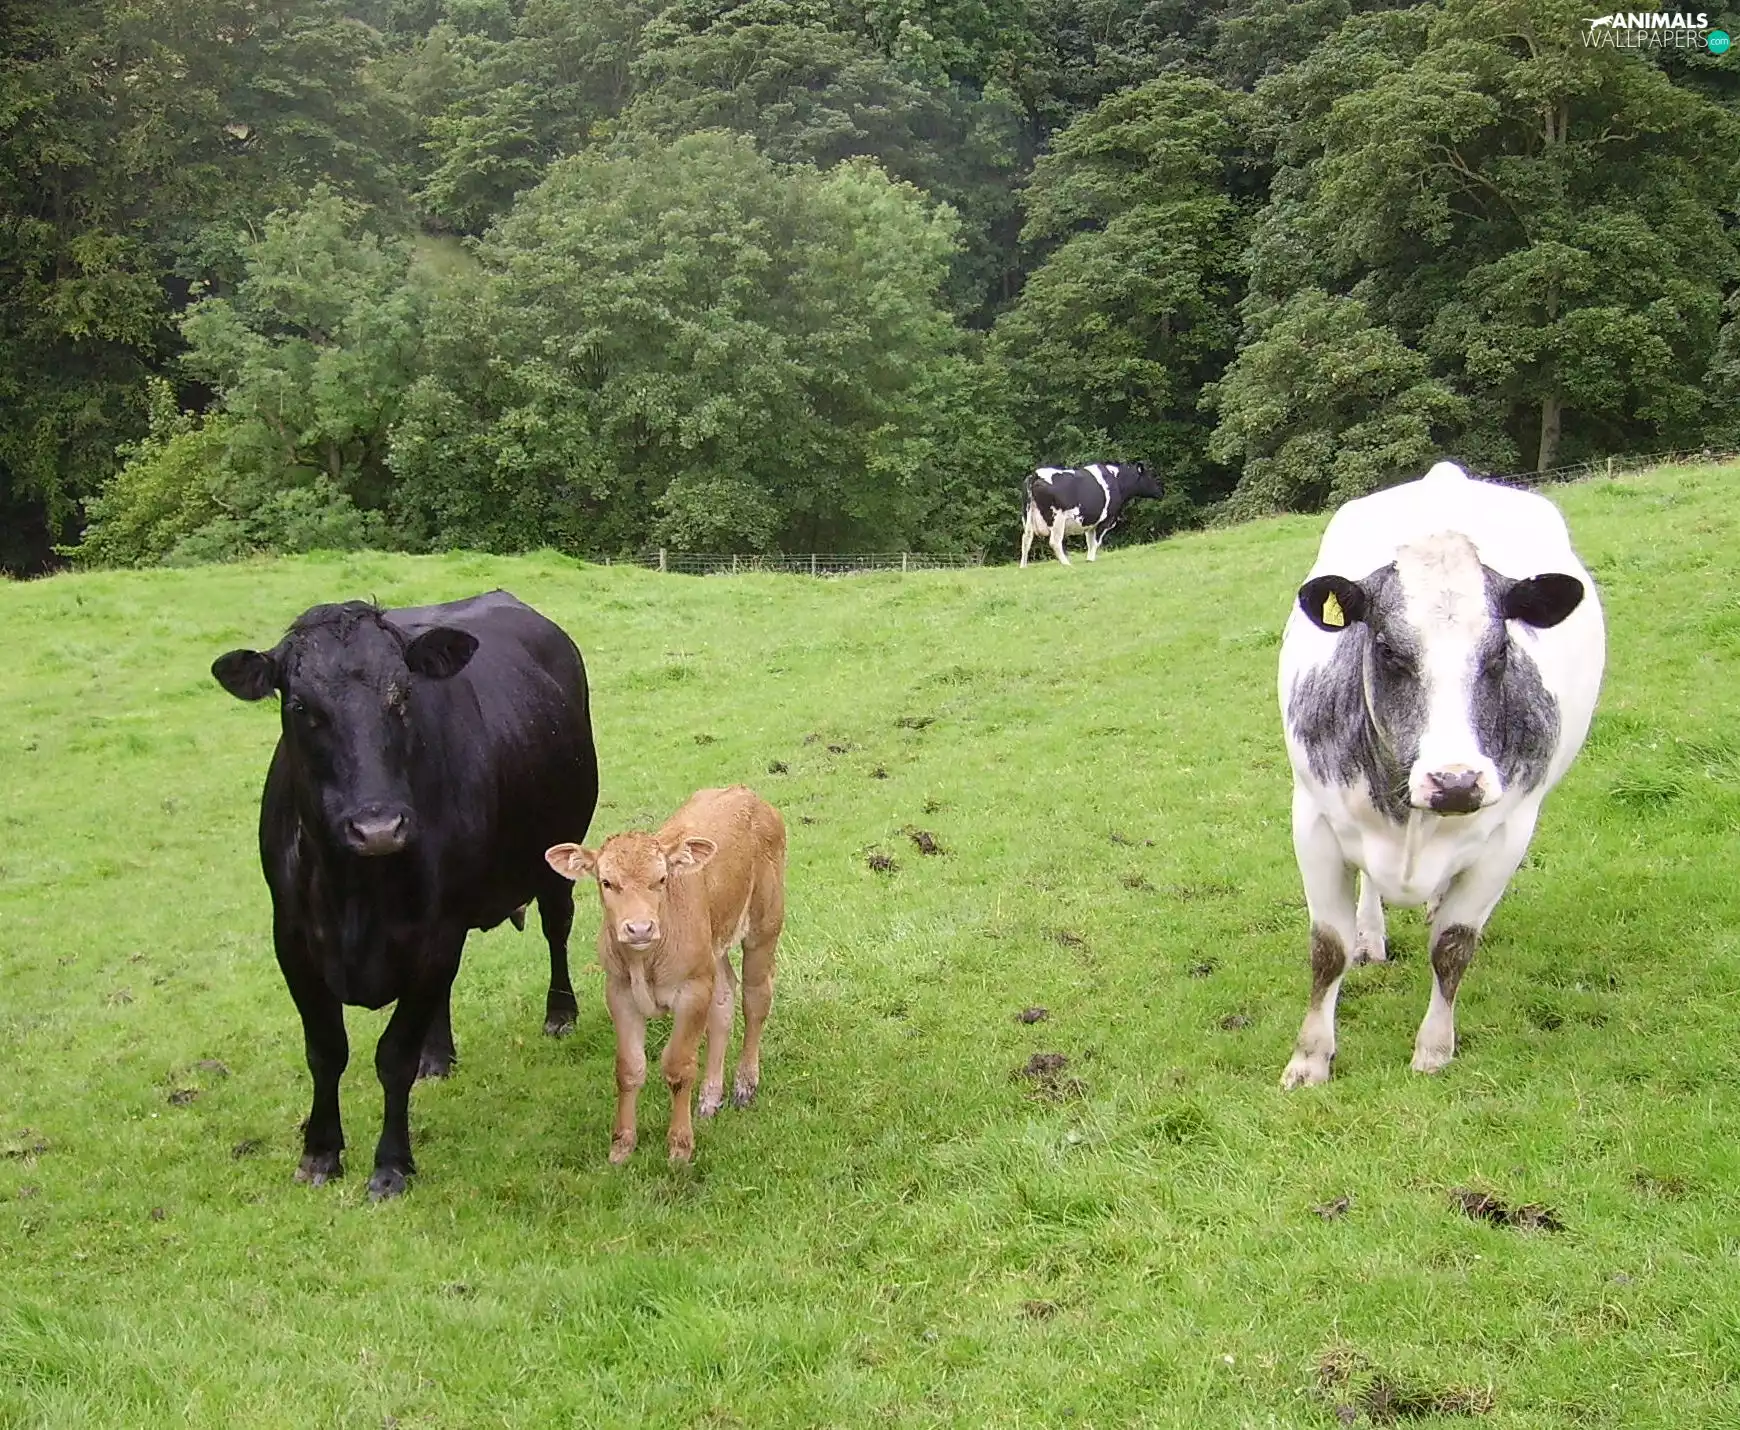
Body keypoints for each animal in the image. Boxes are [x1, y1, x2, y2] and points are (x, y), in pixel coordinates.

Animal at [210, 592, 599, 1198]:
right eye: (299, 706)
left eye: (404, 695)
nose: (378, 828)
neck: (355, 894)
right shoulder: (292, 940)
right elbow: (326, 1049)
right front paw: (319, 1152)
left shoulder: (436, 933)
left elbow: (392, 1055)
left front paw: (391, 1165)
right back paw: (437, 1056)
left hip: (556, 851)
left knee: (556, 926)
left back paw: (559, 1013)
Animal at [544, 786, 786, 1166]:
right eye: (606, 882)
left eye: (661, 879)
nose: (640, 928)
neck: (645, 962)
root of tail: (746, 793)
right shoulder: (619, 993)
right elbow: (629, 1068)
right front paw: (622, 1145)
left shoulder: (691, 992)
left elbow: (678, 1066)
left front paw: (680, 1145)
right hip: (712, 951)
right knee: (724, 1001)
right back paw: (710, 1096)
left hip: (765, 924)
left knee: (755, 999)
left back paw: (745, 1084)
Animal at [1019, 461, 1164, 567]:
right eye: (1150, 477)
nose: (1161, 492)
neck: (1117, 481)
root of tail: (1036, 474)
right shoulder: (1106, 520)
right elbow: (1096, 541)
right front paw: (1091, 559)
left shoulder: (1090, 523)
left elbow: (1090, 541)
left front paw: (1089, 558)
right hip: (1057, 519)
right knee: (1054, 541)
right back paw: (1066, 563)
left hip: (1027, 517)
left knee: (1026, 539)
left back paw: (1023, 566)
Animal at [1276, 461, 1605, 1089]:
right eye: (1385, 648)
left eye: (1500, 651)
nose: (1455, 782)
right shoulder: (1313, 819)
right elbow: (1326, 949)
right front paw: (1309, 1059)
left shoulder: (1508, 835)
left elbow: (1453, 946)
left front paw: (1433, 1049)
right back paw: (1371, 937)